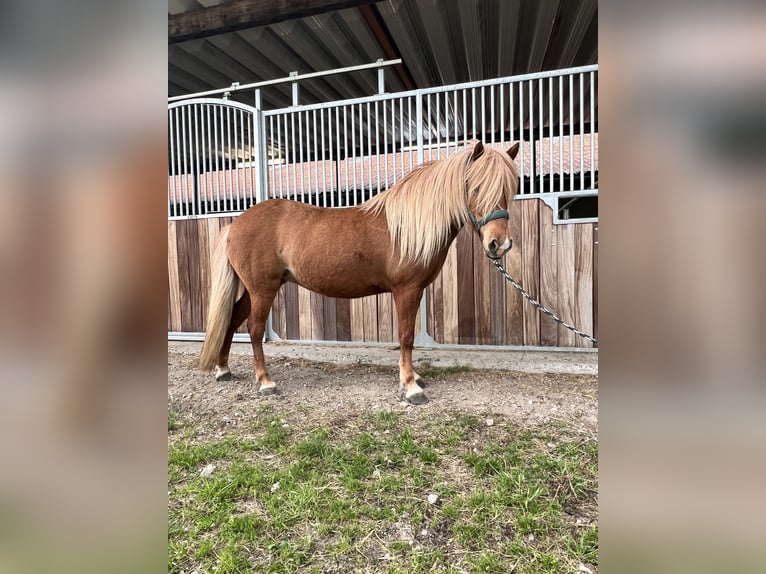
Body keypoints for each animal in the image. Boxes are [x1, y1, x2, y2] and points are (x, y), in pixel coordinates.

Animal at [199, 140, 520, 404]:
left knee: (232, 321)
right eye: (475, 188)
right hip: (262, 289)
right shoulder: (406, 290)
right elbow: (406, 336)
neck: (408, 227)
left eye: (509, 191)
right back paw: (266, 382)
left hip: (252, 290)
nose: (498, 244)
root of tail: (235, 225)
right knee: (253, 329)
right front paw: (411, 387)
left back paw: (223, 369)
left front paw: (413, 378)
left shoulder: (414, 291)